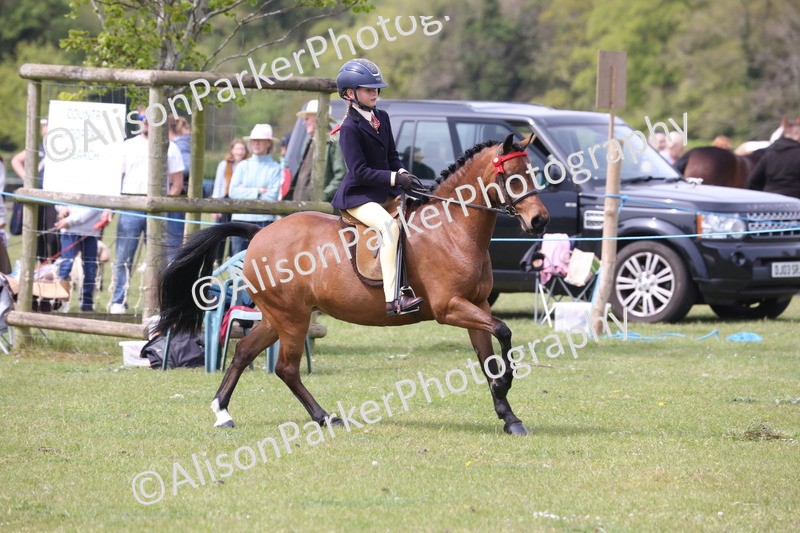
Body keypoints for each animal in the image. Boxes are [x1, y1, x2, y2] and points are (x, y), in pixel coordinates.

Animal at [157, 134, 550, 436]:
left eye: (532, 173)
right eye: (512, 176)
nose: (540, 221)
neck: (452, 228)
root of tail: (258, 233)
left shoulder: (476, 305)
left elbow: (489, 357)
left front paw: (509, 417)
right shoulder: (450, 307)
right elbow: (504, 332)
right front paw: (505, 386)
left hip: (276, 317)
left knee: (243, 352)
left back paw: (223, 412)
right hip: (292, 319)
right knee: (286, 368)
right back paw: (325, 417)